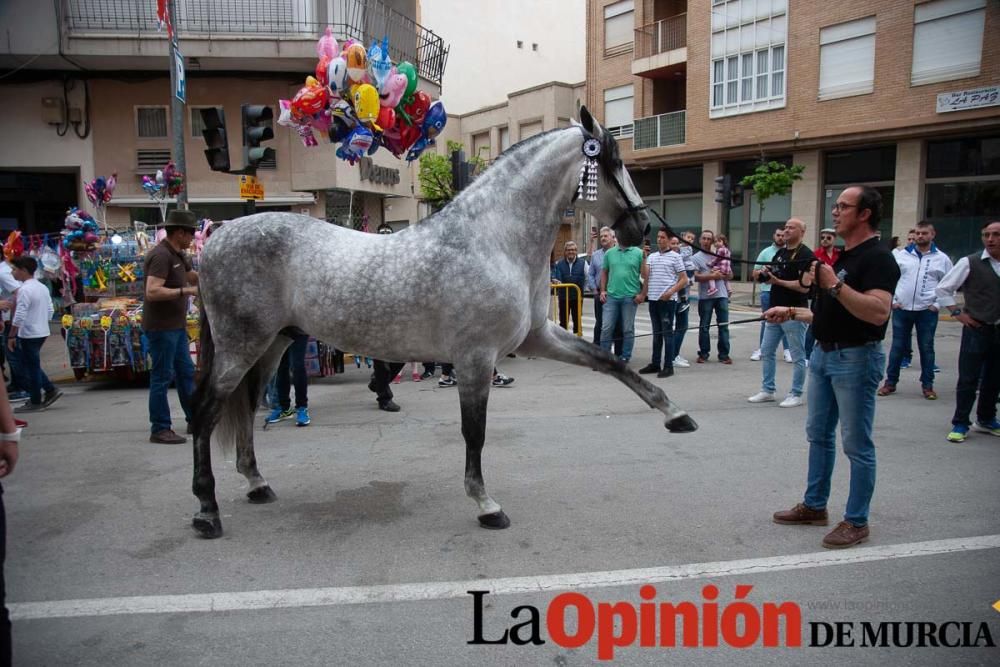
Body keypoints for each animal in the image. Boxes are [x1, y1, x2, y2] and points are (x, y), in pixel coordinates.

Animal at [191, 108, 700, 536]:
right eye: (614, 162)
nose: (642, 228)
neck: (492, 240)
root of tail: (217, 237)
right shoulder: (475, 358)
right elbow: (474, 431)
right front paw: (486, 505)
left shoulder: (536, 338)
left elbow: (610, 362)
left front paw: (676, 414)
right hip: (242, 346)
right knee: (206, 412)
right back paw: (207, 511)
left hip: (273, 344)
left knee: (244, 410)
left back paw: (257, 485)